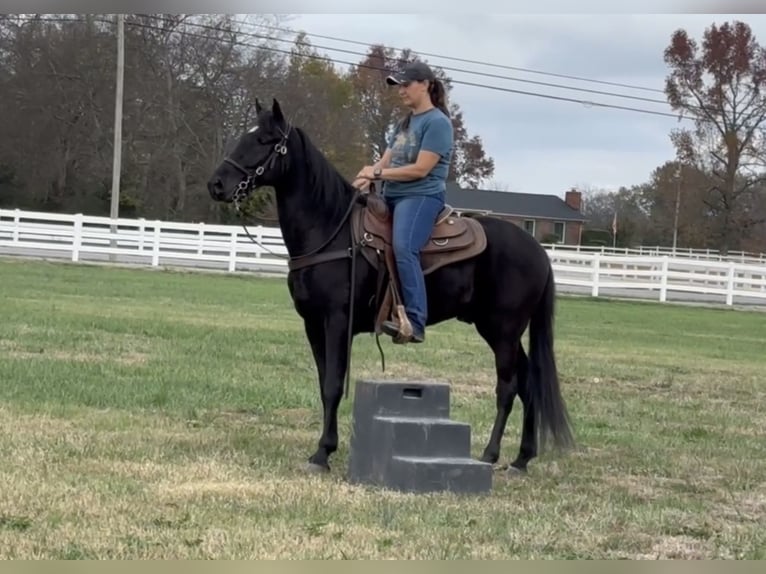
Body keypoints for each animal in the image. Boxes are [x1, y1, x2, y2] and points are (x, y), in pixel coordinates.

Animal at [207, 100, 572, 476]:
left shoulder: (337, 321)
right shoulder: (312, 324)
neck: (331, 229)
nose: (216, 184)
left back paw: (490, 454)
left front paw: (322, 453)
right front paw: (325, 448)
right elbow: (324, 383)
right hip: (499, 330)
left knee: (508, 387)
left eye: (264, 140)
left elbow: (333, 385)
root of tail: (538, 251)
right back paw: (522, 458)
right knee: (529, 384)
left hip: (504, 330)